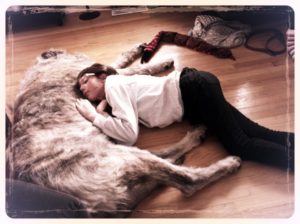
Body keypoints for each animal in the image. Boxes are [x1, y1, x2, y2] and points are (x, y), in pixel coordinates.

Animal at [6, 44, 241, 218]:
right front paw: (159, 63)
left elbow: (115, 62)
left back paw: (189, 144)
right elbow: (129, 69)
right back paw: (223, 161)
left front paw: (137, 51)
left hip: (119, 153)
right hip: (121, 156)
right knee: (187, 181)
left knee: (162, 157)